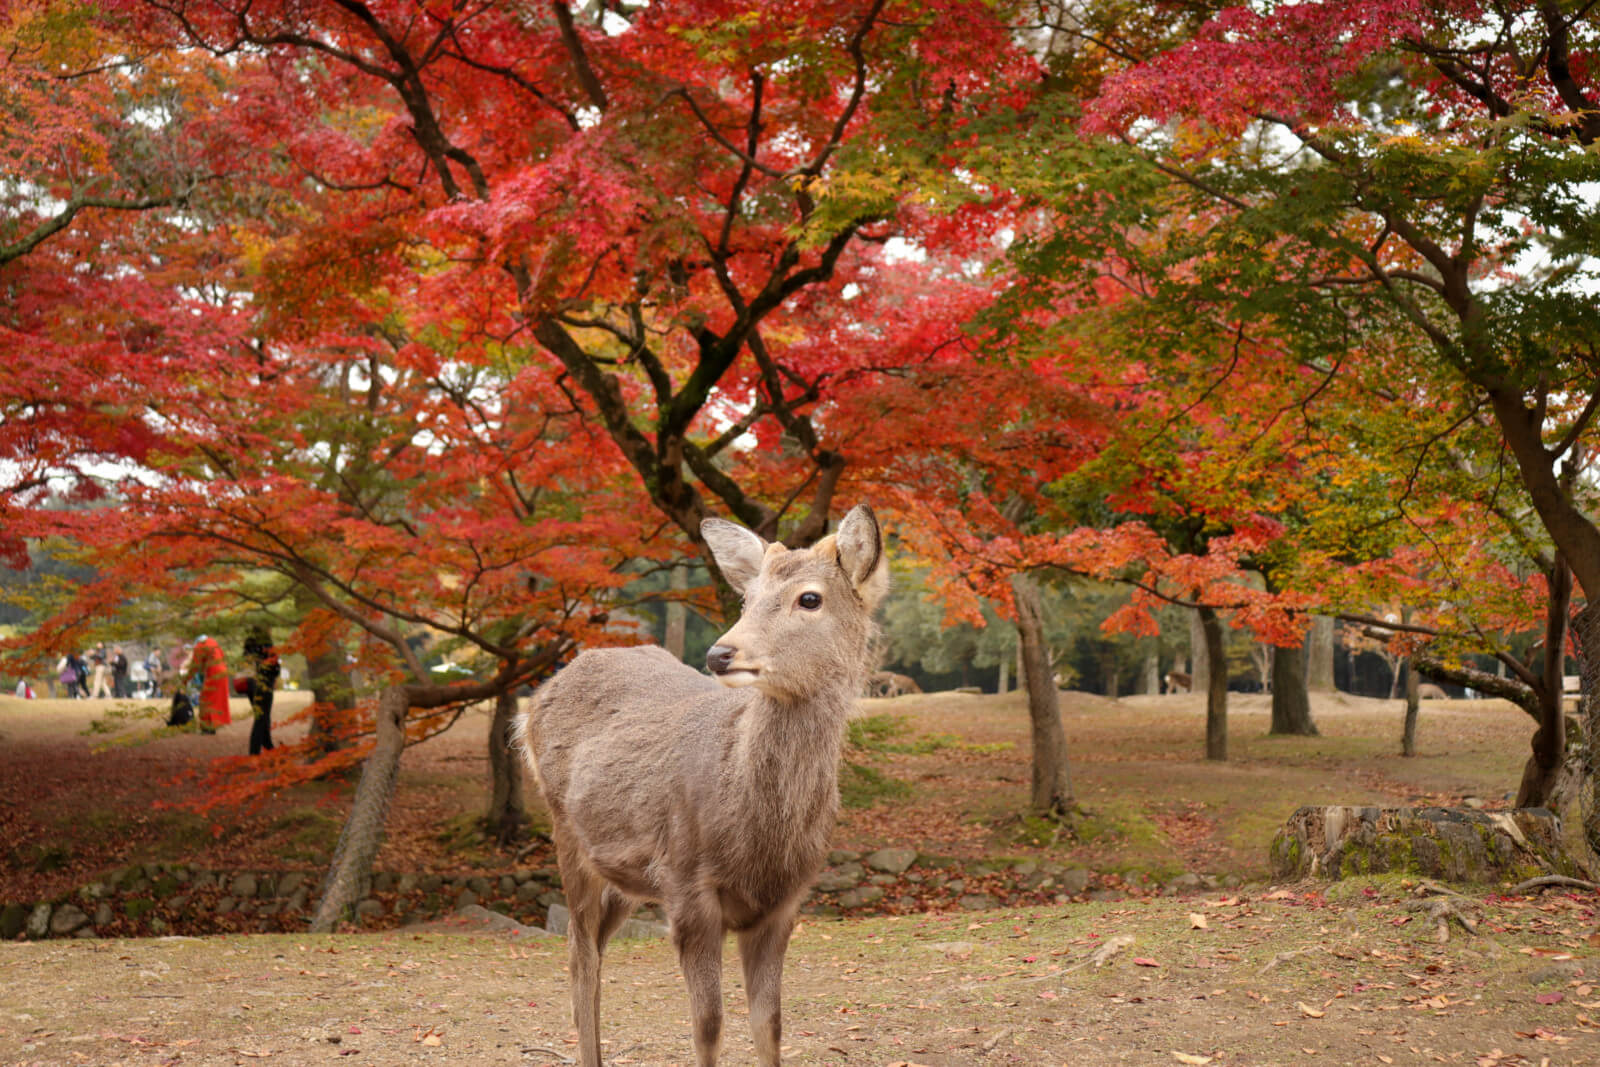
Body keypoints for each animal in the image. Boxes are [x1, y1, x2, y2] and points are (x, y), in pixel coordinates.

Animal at [515, 505, 889, 1062]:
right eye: (746, 598)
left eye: (810, 598)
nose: (719, 654)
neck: (758, 838)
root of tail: (534, 702)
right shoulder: (687, 884)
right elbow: (708, 1024)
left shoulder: (786, 902)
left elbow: (770, 1023)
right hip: (566, 835)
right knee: (580, 955)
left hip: (625, 873)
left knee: (595, 947)